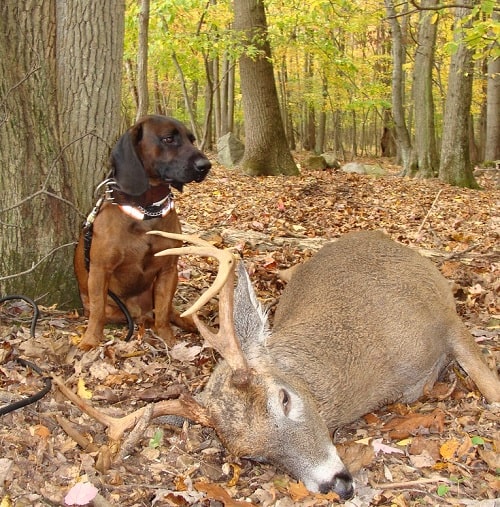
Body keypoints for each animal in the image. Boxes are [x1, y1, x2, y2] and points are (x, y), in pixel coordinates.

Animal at [73, 116, 210, 350]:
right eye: (168, 138)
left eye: (191, 140)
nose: (206, 166)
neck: (146, 209)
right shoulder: (100, 271)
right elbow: (98, 312)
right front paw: (90, 340)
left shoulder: (168, 269)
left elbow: (163, 310)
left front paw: (168, 338)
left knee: (167, 311)